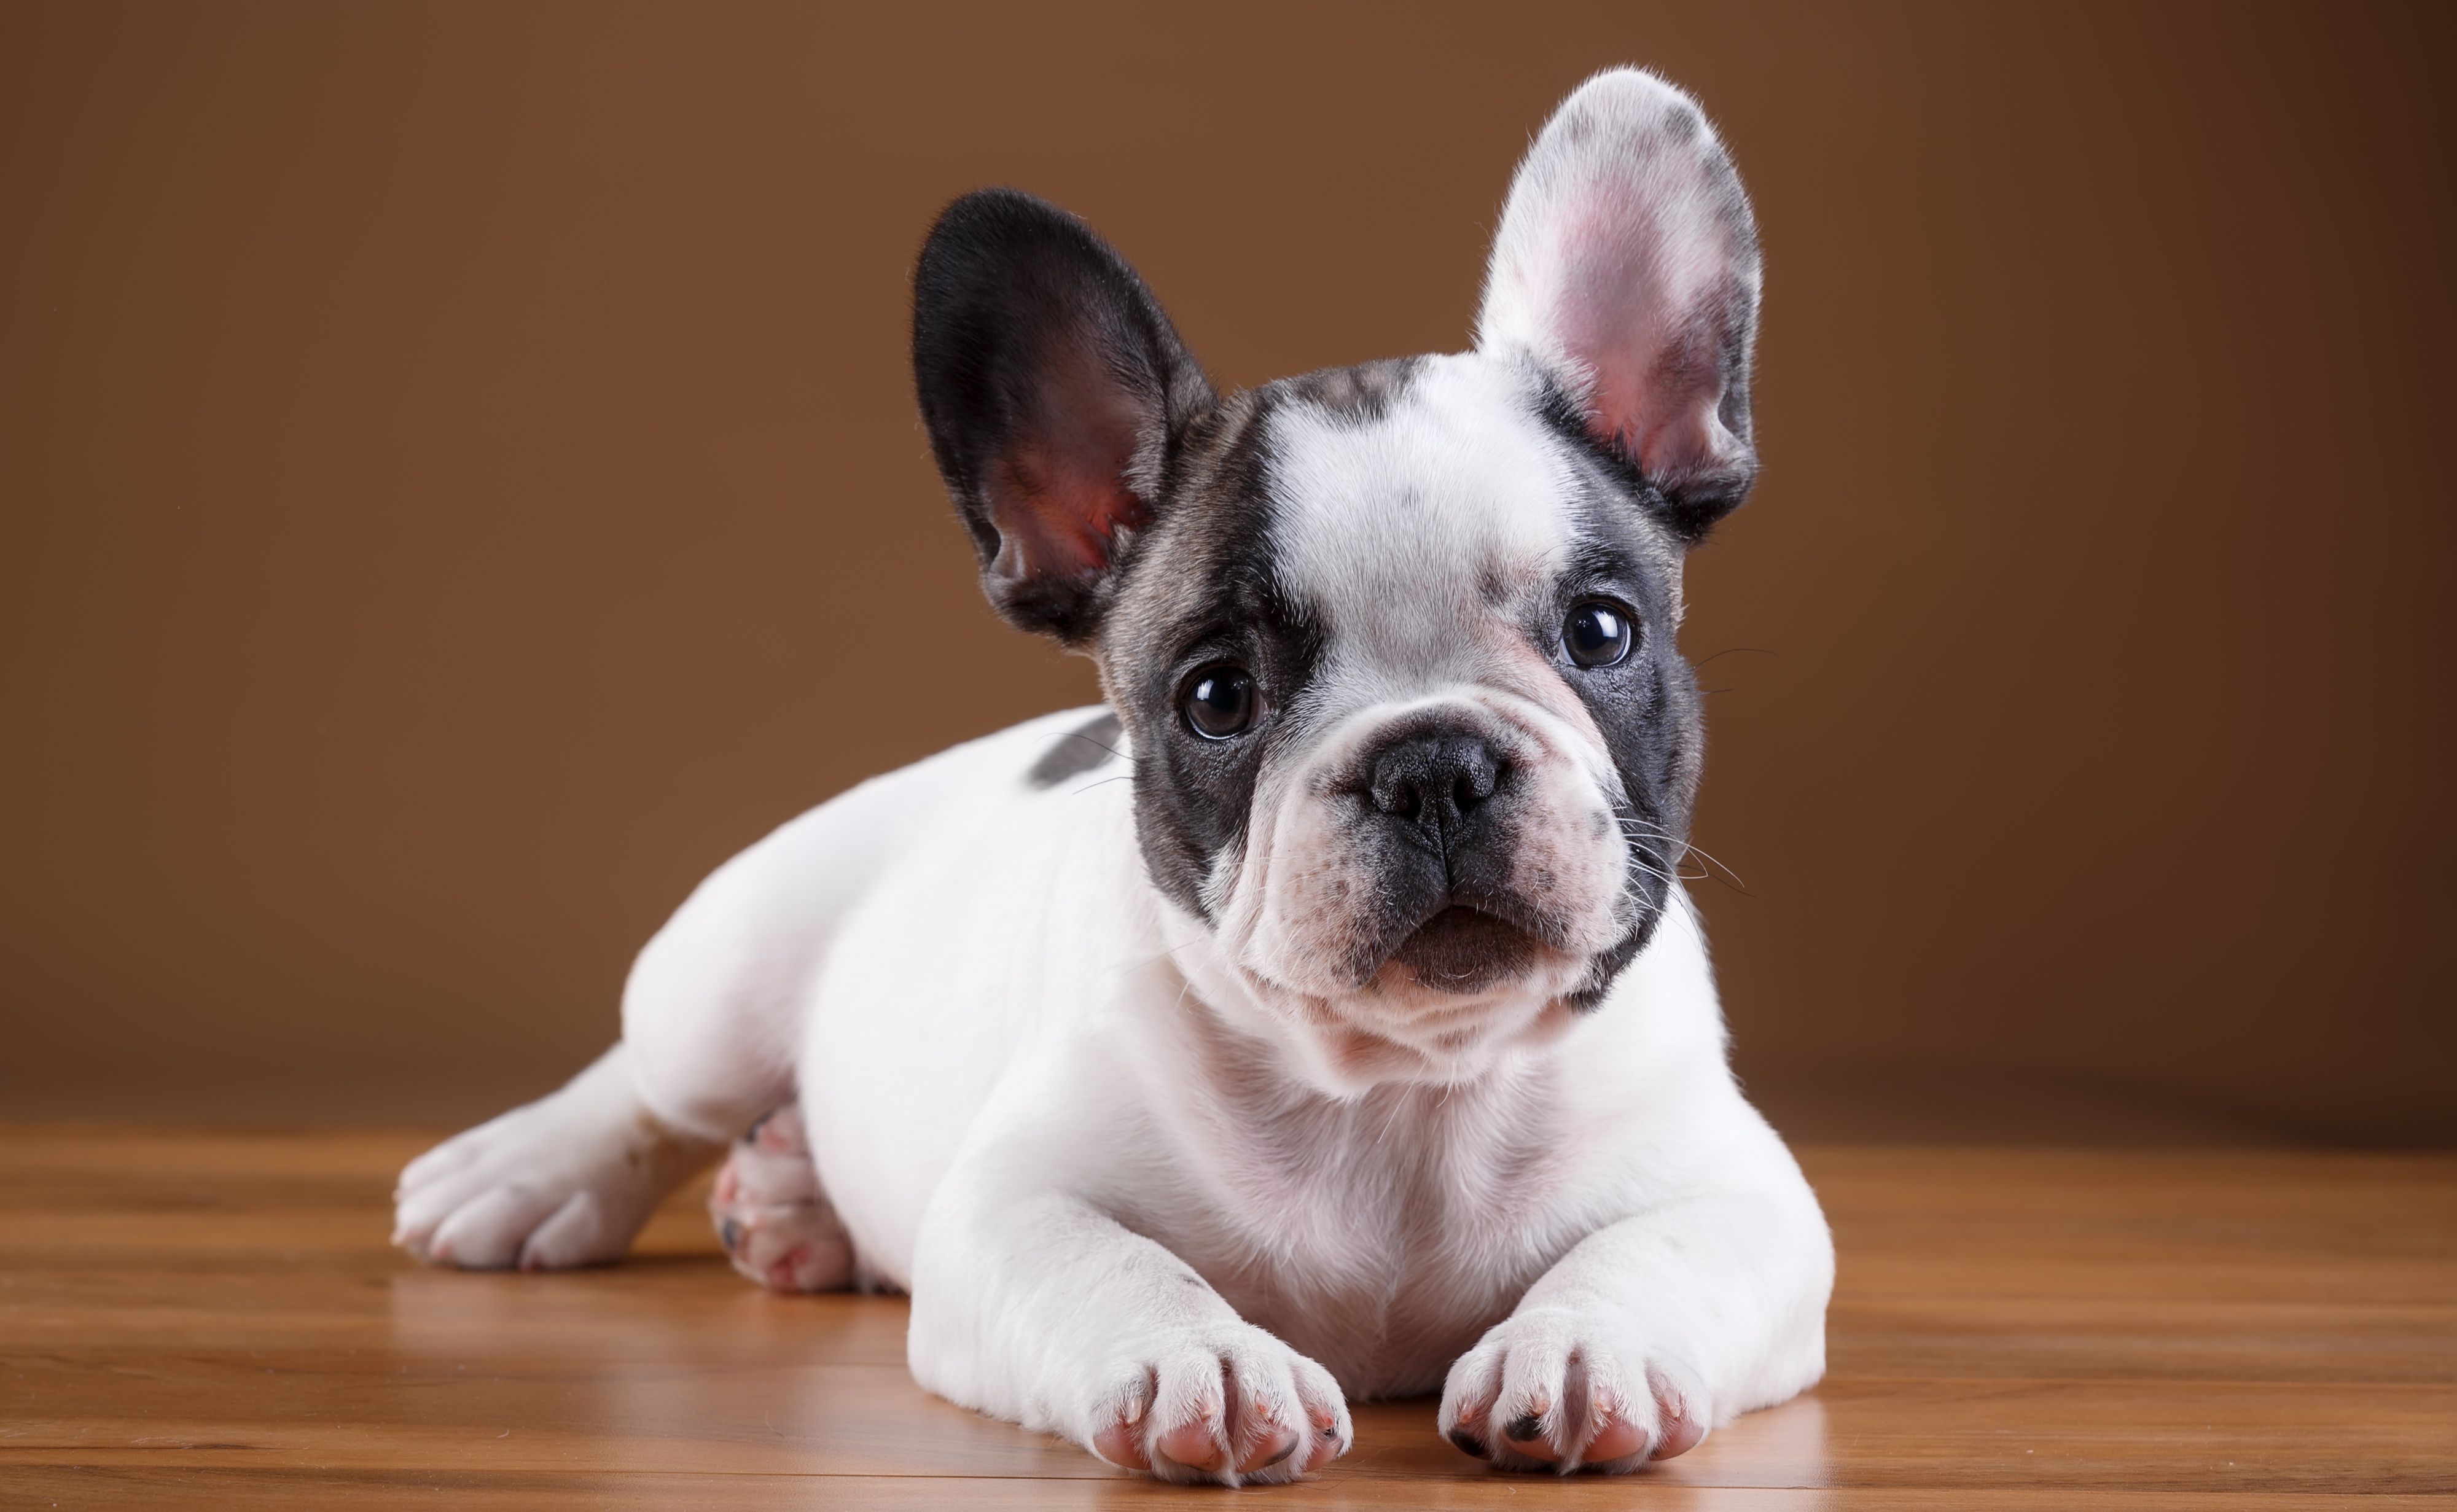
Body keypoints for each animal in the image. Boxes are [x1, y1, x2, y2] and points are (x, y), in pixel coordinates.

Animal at [398, 64, 1828, 1483]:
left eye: (1601, 630)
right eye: (1217, 698)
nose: (1432, 764)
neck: (1401, 1087)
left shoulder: (1752, 1197)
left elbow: (1661, 1246)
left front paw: (1583, 1343)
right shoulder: (1007, 1208)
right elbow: (1108, 1265)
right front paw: (1206, 1360)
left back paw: (794, 1202)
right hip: (722, 969)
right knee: (649, 1084)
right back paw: (527, 1172)